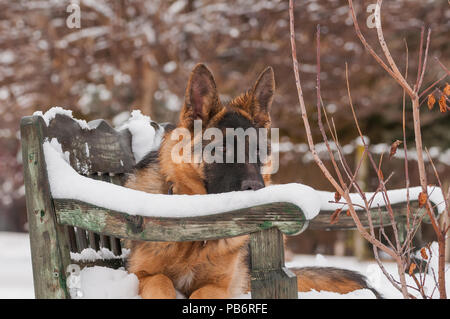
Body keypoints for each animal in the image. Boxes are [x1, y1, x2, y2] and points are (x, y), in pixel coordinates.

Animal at [125, 63, 382, 298]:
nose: (256, 188)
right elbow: (159, 281)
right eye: (222, 149)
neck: (198, 229)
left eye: (257, 151)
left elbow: (202, 293)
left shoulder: (218, 286)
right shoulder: (143, 275)